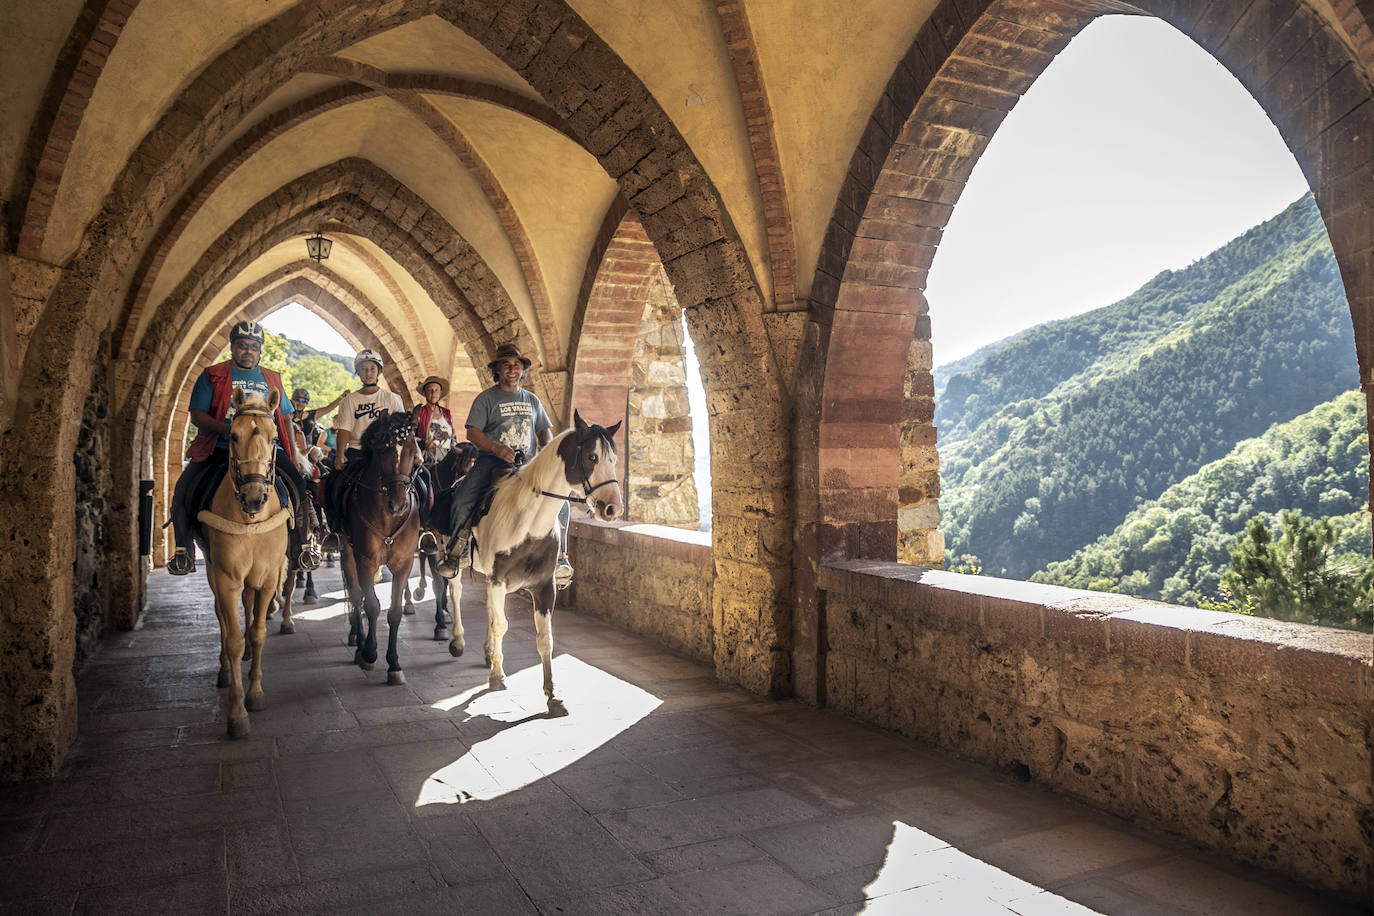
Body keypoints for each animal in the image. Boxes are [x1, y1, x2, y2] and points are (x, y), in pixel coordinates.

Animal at [193, 387, 292, 736]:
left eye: (275, 437)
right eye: (233, 436)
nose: (253, 497)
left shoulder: (267, 576)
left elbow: (258, 632)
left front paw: (256, 693)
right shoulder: (226, 578)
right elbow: (233, 637)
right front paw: (237, 713)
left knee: (248, 607)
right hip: (212, 570)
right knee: (221, 618)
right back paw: (224, 670)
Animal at [329, 411, 420, 683]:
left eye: (413, 449)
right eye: (383, 448)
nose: (398, 504)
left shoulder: (404, 563)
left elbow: (394, 612)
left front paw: (394, 664)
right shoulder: (365, 560)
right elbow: (370, 604)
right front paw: (369, 653)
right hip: (348, 553)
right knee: (356, 595)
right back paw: (359, 643)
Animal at [450, 411, 623, 719]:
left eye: (613, 459)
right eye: (592, 457)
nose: (613, 508)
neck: (527, 520)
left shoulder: (543, 587)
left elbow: (545, 639)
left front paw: (552, 696)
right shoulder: (498, 580)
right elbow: (501, 625)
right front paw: (497, 676)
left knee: (488, 609)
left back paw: (487, 652)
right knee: (456, 593)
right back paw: (458, 641)